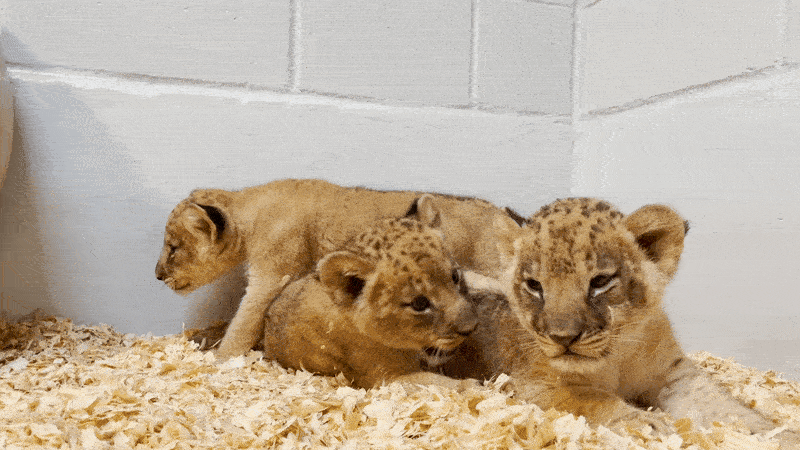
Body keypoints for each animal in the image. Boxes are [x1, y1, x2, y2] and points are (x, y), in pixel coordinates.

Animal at [154, 179, 519, 358]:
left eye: (173, 248)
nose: (157, 275)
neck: (249, 208)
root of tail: (506, 215)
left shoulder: (271, 274)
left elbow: (243, 322)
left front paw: (219, 361)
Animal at [262, 217, 478, 389]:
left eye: (455, 276)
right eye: (419, 304)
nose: (470, 329)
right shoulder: (383, 379)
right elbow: (434, 382)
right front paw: (472, 386)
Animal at [439, 198, 799, 447]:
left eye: (600, 281)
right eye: (534, 285)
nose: (563, 337)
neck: (616, 359)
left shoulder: (673, 373)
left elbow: (721, 406)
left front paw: (778, 433)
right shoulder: (530, 383)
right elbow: (592, 399)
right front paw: (646, 425)